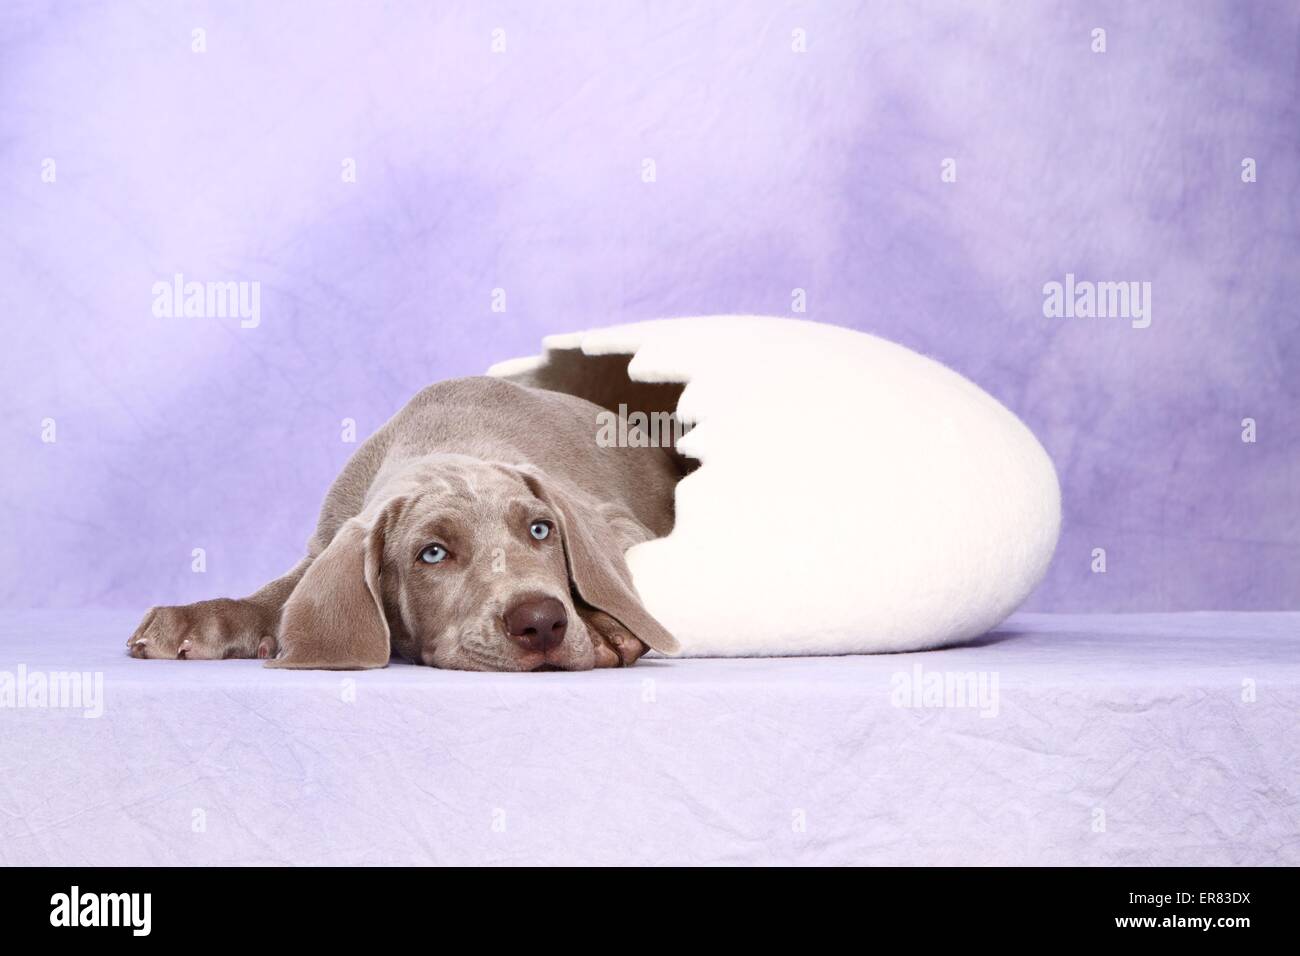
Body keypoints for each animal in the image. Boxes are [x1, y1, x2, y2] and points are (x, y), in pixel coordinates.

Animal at [126, 374, 681, 671]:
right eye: (431, 553)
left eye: (541, 530)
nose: (541, 622)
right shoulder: (325, 538)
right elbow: (279, 592)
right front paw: (196, 619)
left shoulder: (614, 520)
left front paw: (602, 627)